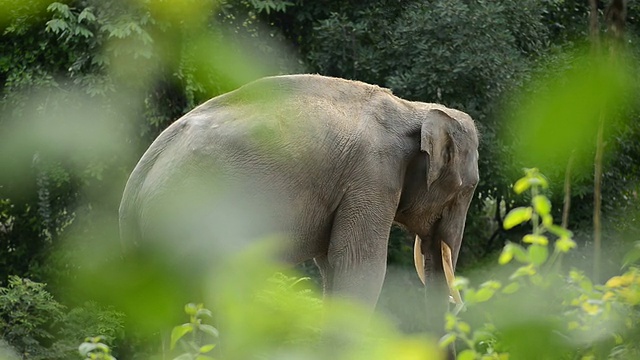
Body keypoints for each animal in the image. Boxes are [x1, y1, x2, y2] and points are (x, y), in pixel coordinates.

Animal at [117, 73, 478, 326]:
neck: (412, 108)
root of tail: (136, 184)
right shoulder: (371, 177)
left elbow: (331, 266)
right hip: (193, 216)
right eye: (468, 188)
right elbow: (359, 266)